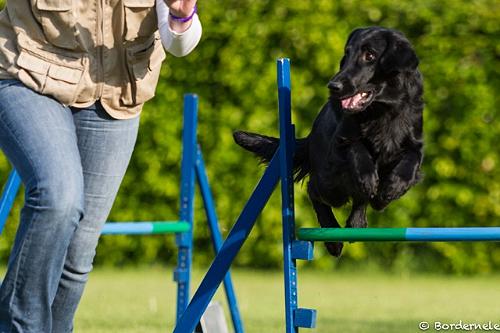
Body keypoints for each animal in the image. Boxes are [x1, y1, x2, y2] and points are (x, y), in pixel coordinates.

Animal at [233, 27, 422, 255]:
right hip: (331, 184)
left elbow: (411, 160)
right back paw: (333, 240)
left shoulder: (414, 140)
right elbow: (356, 147)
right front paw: (369, 178)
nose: (333, 86)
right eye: (347, 54)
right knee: (313, 189)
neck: (382, 111)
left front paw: (391, 189)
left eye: (370, 55)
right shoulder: (342, 141)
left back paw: (357, 221)